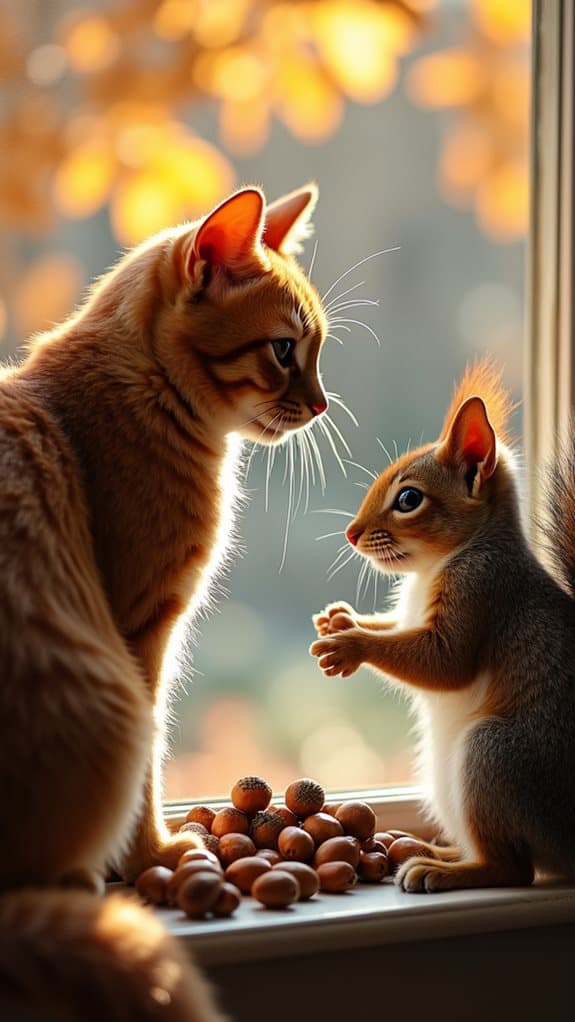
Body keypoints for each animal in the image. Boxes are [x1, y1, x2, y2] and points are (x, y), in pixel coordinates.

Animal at [311, 359, 575, 892]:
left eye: (409, 498)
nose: (351, 533)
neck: (441, 561)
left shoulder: (480, 592)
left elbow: (442, 662)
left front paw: (349, 645)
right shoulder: (408, 614)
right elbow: (393, 628)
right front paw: (341, 619)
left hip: (494, 757)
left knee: (514, 869)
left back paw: (443, 870)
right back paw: (437, 851)